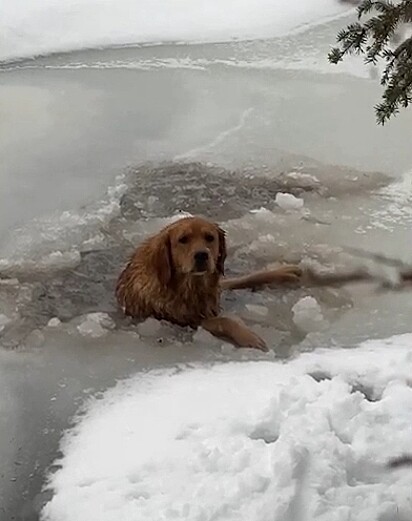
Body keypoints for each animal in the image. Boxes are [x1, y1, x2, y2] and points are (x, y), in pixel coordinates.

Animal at [114, 215, 300, 350]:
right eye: (183, 239)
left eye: (209, 237)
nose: (202, 255)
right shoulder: (184, 319)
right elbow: (224, 321)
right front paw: (249, 337)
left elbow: (242, 279)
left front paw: (283, 272)